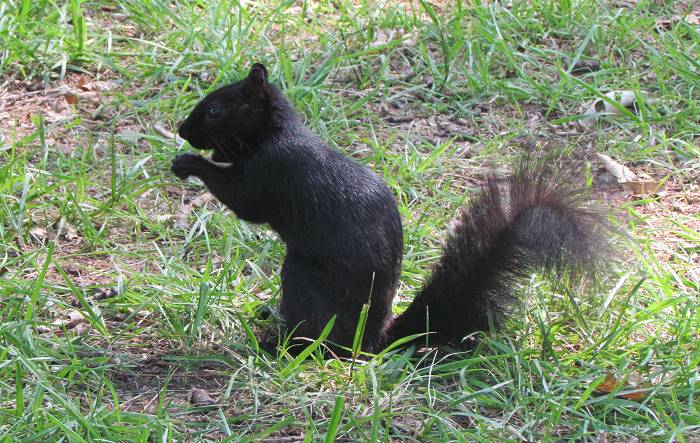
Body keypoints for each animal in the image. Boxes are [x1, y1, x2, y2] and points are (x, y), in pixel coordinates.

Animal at [170, 63, 608, 354]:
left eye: (215, 110)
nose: (181, 129)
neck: (274, 134)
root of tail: (373, 339)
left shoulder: (272, 172)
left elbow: (245, 201)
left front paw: (188, 163)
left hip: (304, 277)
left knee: (319, 337)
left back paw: (278, 345)